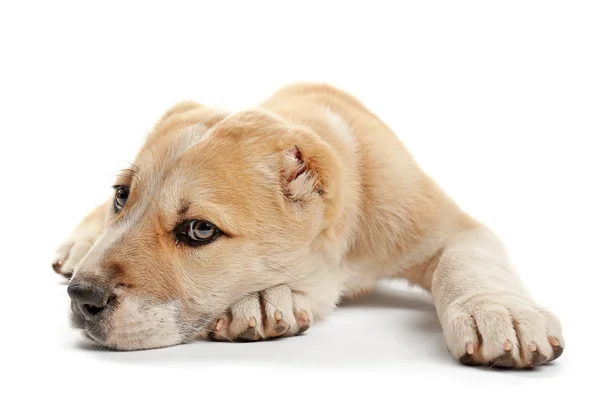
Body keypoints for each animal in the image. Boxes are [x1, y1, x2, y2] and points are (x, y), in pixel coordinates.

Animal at [51, 83, 564, 368]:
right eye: (122, 196)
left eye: (199, 230)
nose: (82, 298)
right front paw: (263, 301)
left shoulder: (454, 227)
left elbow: (469, 263)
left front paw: (501, 314)